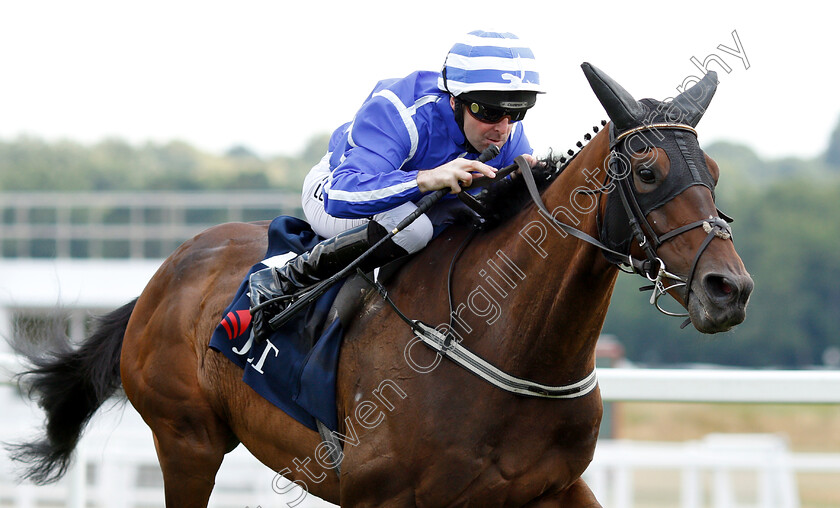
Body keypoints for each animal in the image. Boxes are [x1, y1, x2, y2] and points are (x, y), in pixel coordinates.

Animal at [8, 61, 756, 506]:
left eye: (716, 173)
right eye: (649, 171)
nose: (729, 288)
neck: (506, 343)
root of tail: (167, 272)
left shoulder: (553, 489)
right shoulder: (383, 496)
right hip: (185, 439)